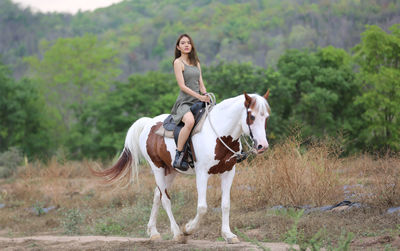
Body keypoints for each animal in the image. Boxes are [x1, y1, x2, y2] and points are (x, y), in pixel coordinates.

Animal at [92, 89, 270, 243]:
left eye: (266, 116)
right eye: (251, 116)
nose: (262, 146)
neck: (219, 133)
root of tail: (149, 123)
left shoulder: (228, 172)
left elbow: (225, 205)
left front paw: (228, 235)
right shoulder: (202, 173)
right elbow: (202, 207)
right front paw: (189, 229)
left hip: (170, 171)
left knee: (157, 195)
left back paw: (154, 232)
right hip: (157, 168)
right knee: (165, 199)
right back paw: (177, 233)